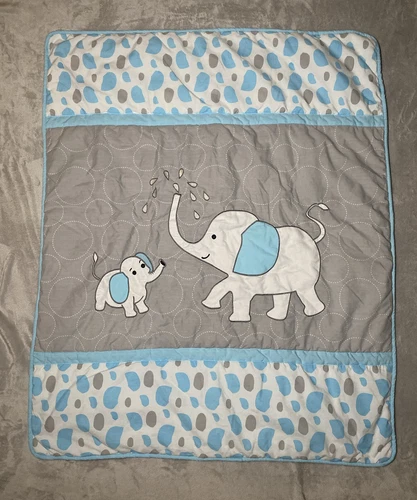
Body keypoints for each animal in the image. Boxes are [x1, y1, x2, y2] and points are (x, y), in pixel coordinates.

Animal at [169, 193, 329, 322]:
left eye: (213, 237)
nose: (178, 194)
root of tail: (313, 240)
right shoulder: (237, 274)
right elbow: (223, 284)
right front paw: (208, 305)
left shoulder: (246, 275)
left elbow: (240, 294)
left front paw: (237, 319)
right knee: (282, 294)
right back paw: (274, 316)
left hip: (305, 273)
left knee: (305, 292)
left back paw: (314, 312)